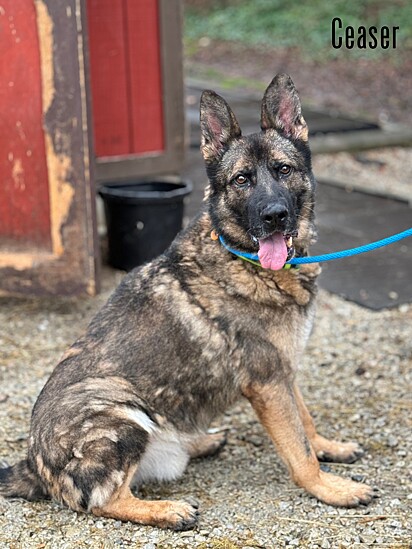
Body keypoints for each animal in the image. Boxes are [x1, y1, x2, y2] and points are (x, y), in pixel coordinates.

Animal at [0, 75, 374, 528]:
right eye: (241, 180)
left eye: (284, 170)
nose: (274, 215)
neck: (242, 257)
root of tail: (33, 463)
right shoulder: (268, 382)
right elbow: (299, 453)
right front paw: (331, 488)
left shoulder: (282, 373)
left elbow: (305, 421)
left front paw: (328, 446)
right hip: (119, 408)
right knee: (104, 499)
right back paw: (166, 509)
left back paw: (200, 442)